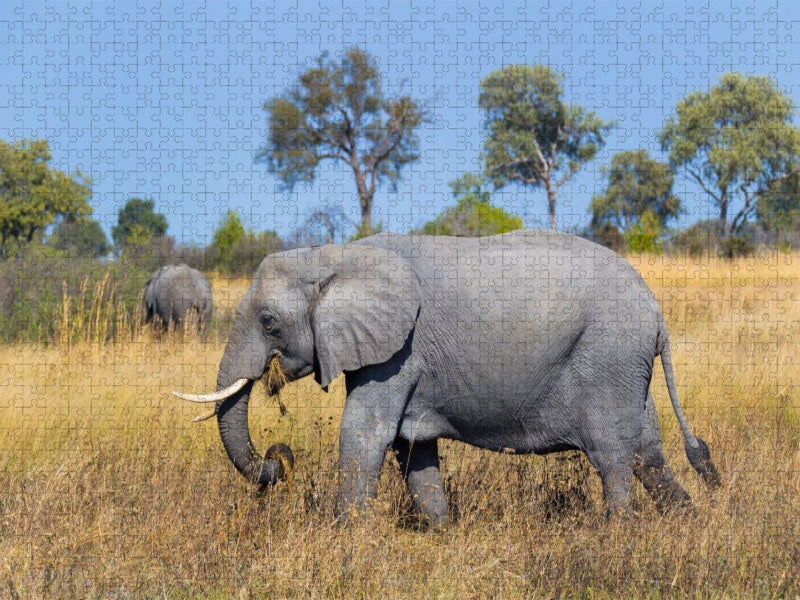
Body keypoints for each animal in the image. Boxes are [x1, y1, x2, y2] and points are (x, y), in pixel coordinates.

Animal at [174, 230, 719, 525]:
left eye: (268, 322)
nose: (277, 457)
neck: (332, 255)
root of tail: (657, 314)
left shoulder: (400, 352)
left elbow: (364, 435)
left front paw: (346, 537)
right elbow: (412, 449)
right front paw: (442, 531)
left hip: (607, 356)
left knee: (612, 457)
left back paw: (616, 536)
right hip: (626, 366)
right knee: (647, 451)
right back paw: (687, 525)